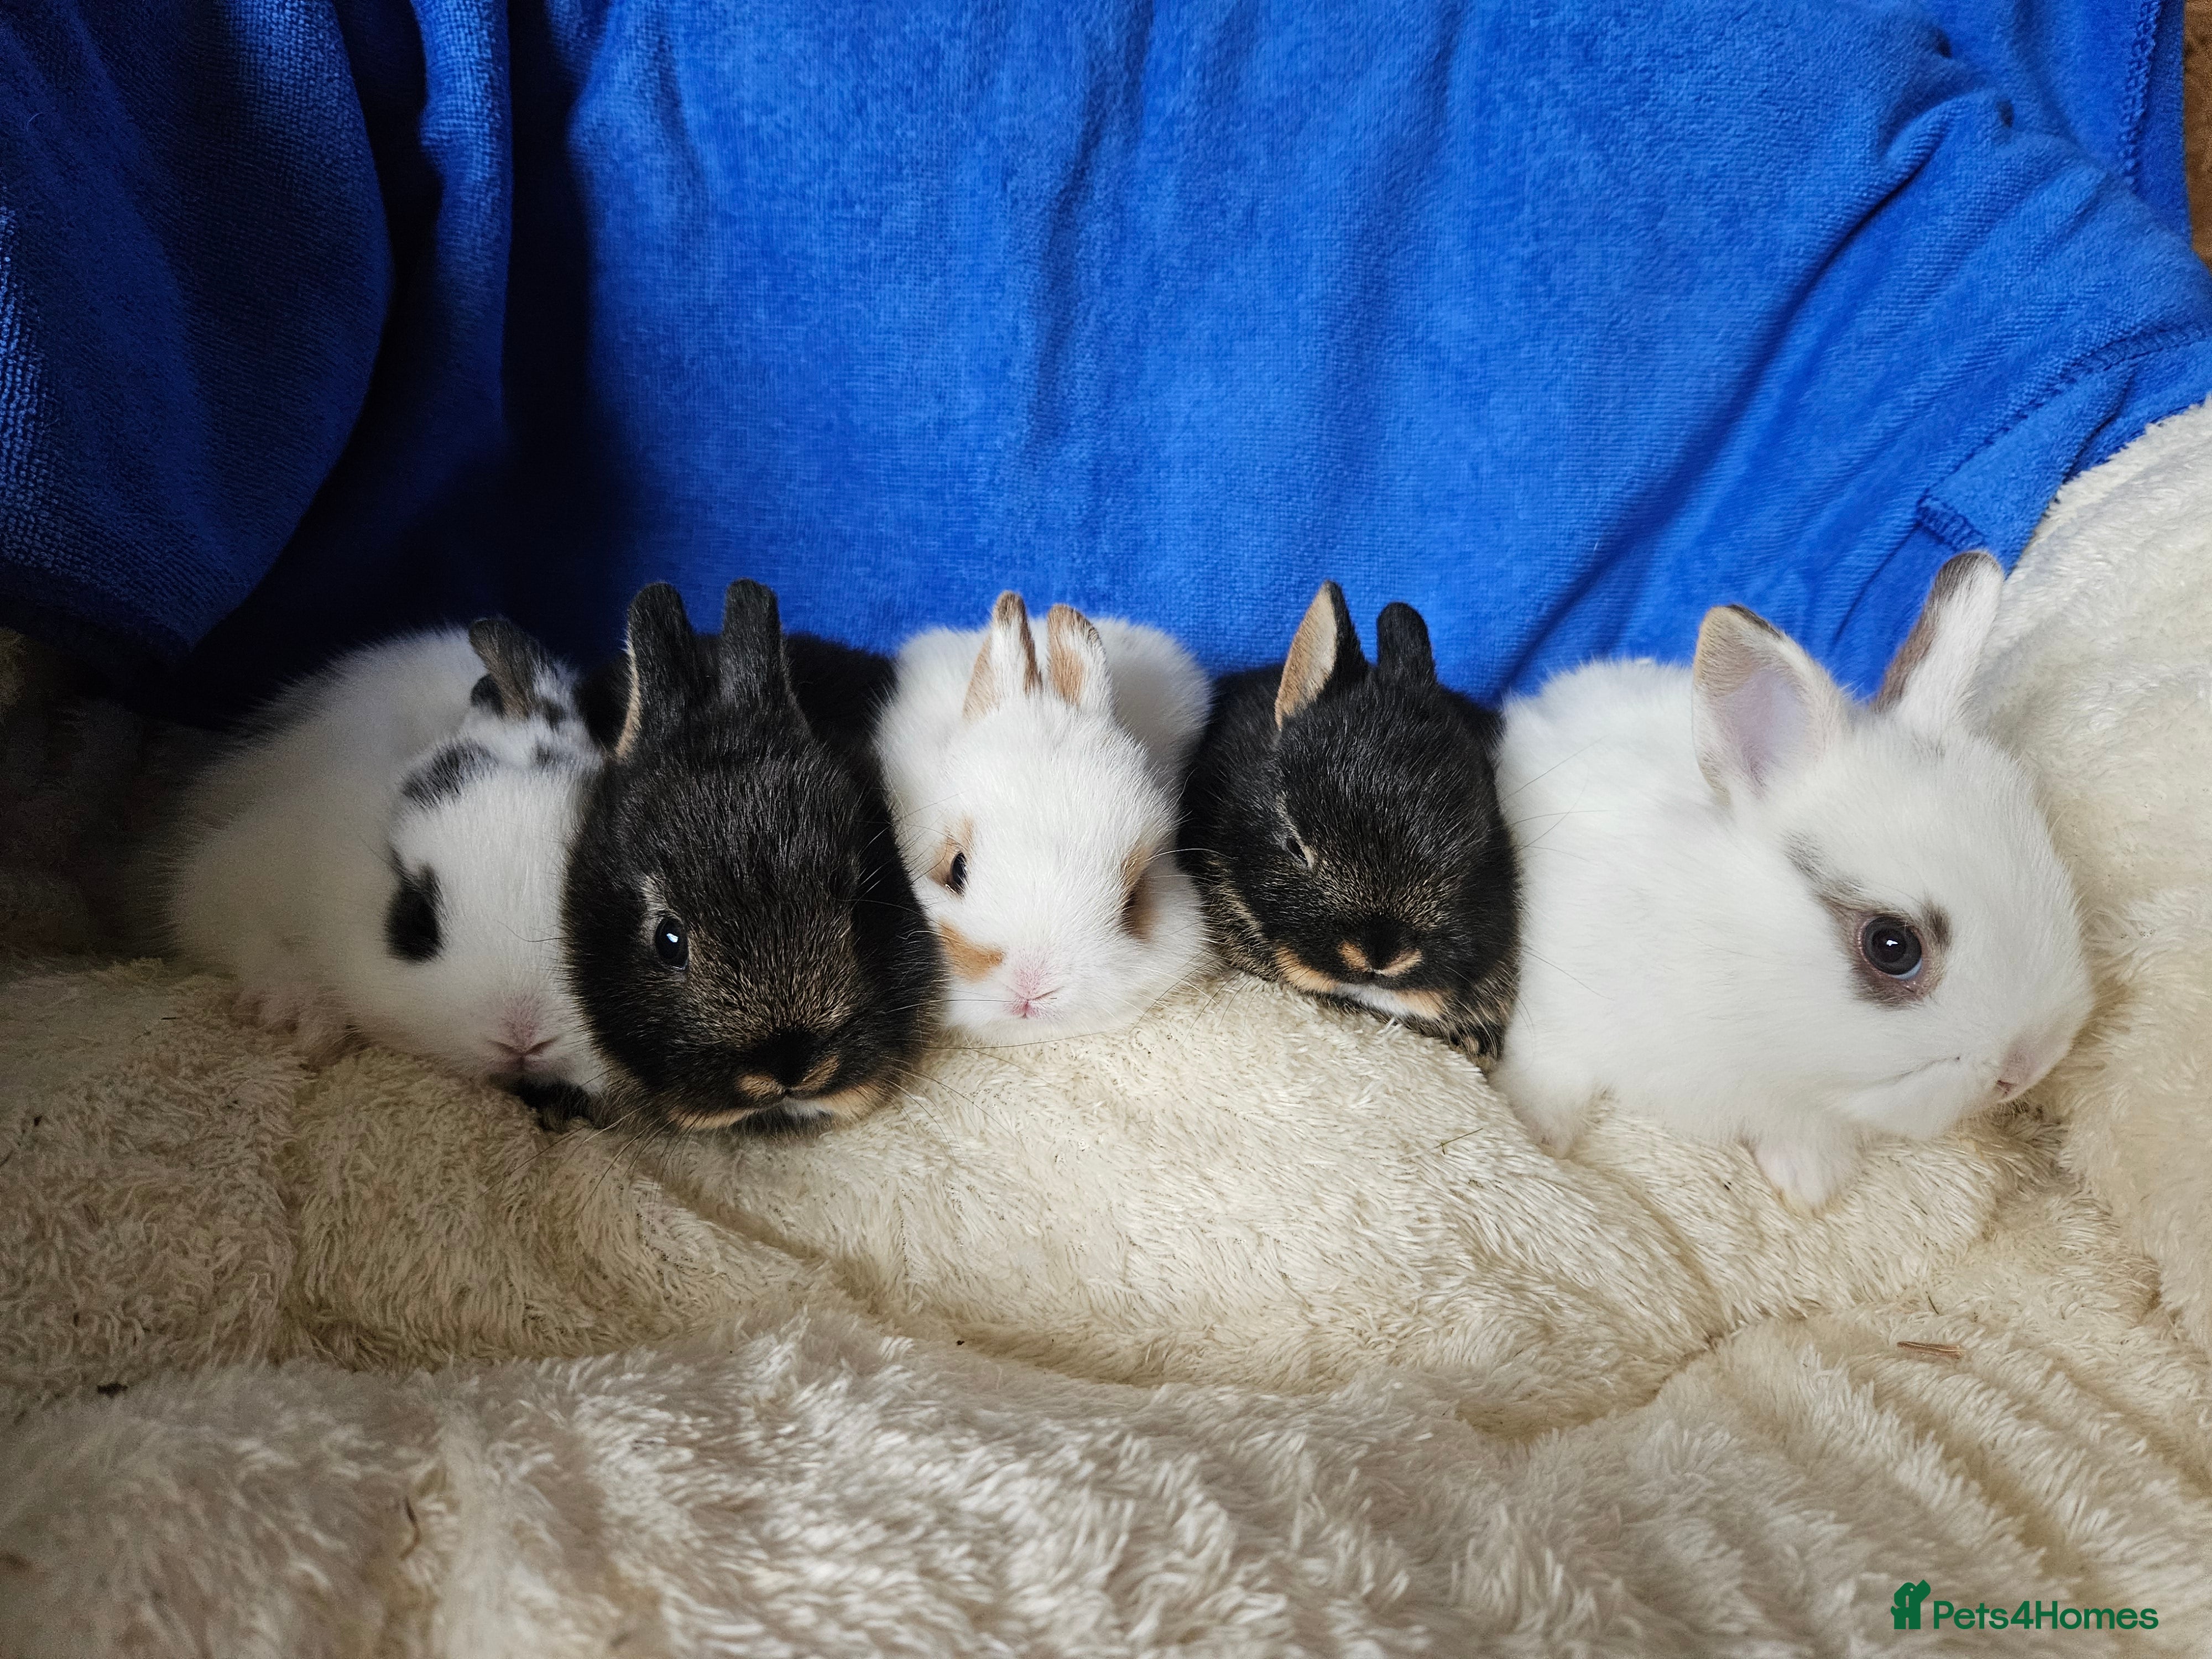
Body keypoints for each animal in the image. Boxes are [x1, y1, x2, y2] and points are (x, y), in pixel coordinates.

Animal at [1490, 551, 2094, 1209]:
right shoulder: (1556, 1001)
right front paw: (1534, 1129)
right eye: (1892, 946)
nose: (2026, 1067)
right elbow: (1551, 1069)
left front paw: (1809, 1185)